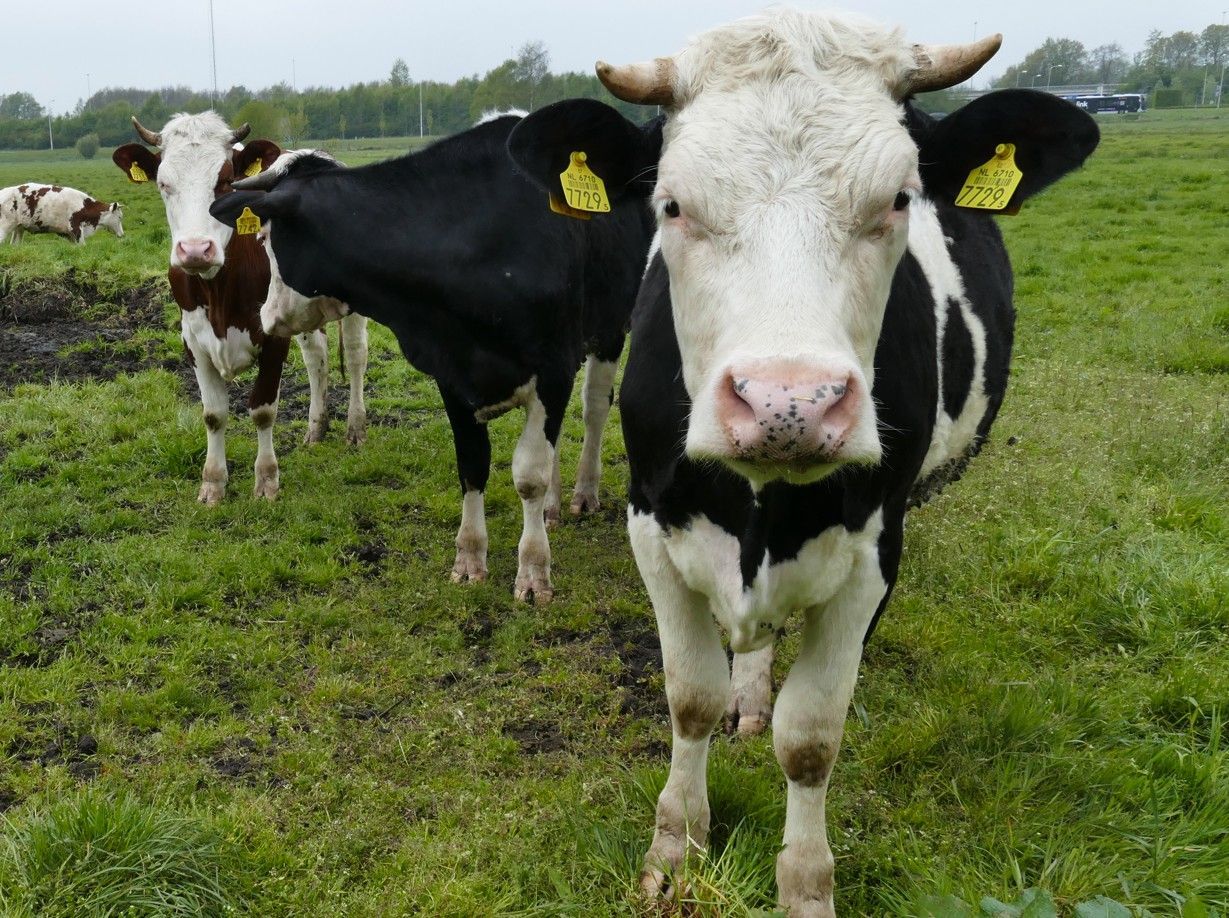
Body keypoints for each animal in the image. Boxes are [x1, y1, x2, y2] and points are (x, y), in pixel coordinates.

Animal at [111, 112, 369, 505]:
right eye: (164, 184)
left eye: (225, 182)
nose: (196, 250)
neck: (218, 287)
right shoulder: (193, 341)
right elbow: (214, 415)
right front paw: (213, 484)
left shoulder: (272, 336)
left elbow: (262, 409)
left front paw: (266, 481)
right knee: (317, 358)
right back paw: (316, 428)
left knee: (355, 355)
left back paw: (355, 428)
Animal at [207, 111, 660, 601]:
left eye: (267, 237)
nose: (266, 316)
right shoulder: (451, 371)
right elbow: (473, 465)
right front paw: (470, 558)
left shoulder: (553, 367)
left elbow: (529, 475)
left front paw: (533, 571)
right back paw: (553, 509)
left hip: (610, 325)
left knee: (594, 408)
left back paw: (583, 493)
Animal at [507, 9, 1099, 915]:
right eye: (670, 204)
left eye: (897, 199)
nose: (788, 404)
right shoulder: (652, 527)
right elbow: (690, 697)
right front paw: (675, 846)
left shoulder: (871, 555)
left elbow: (811, 737)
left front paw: (805, 885)